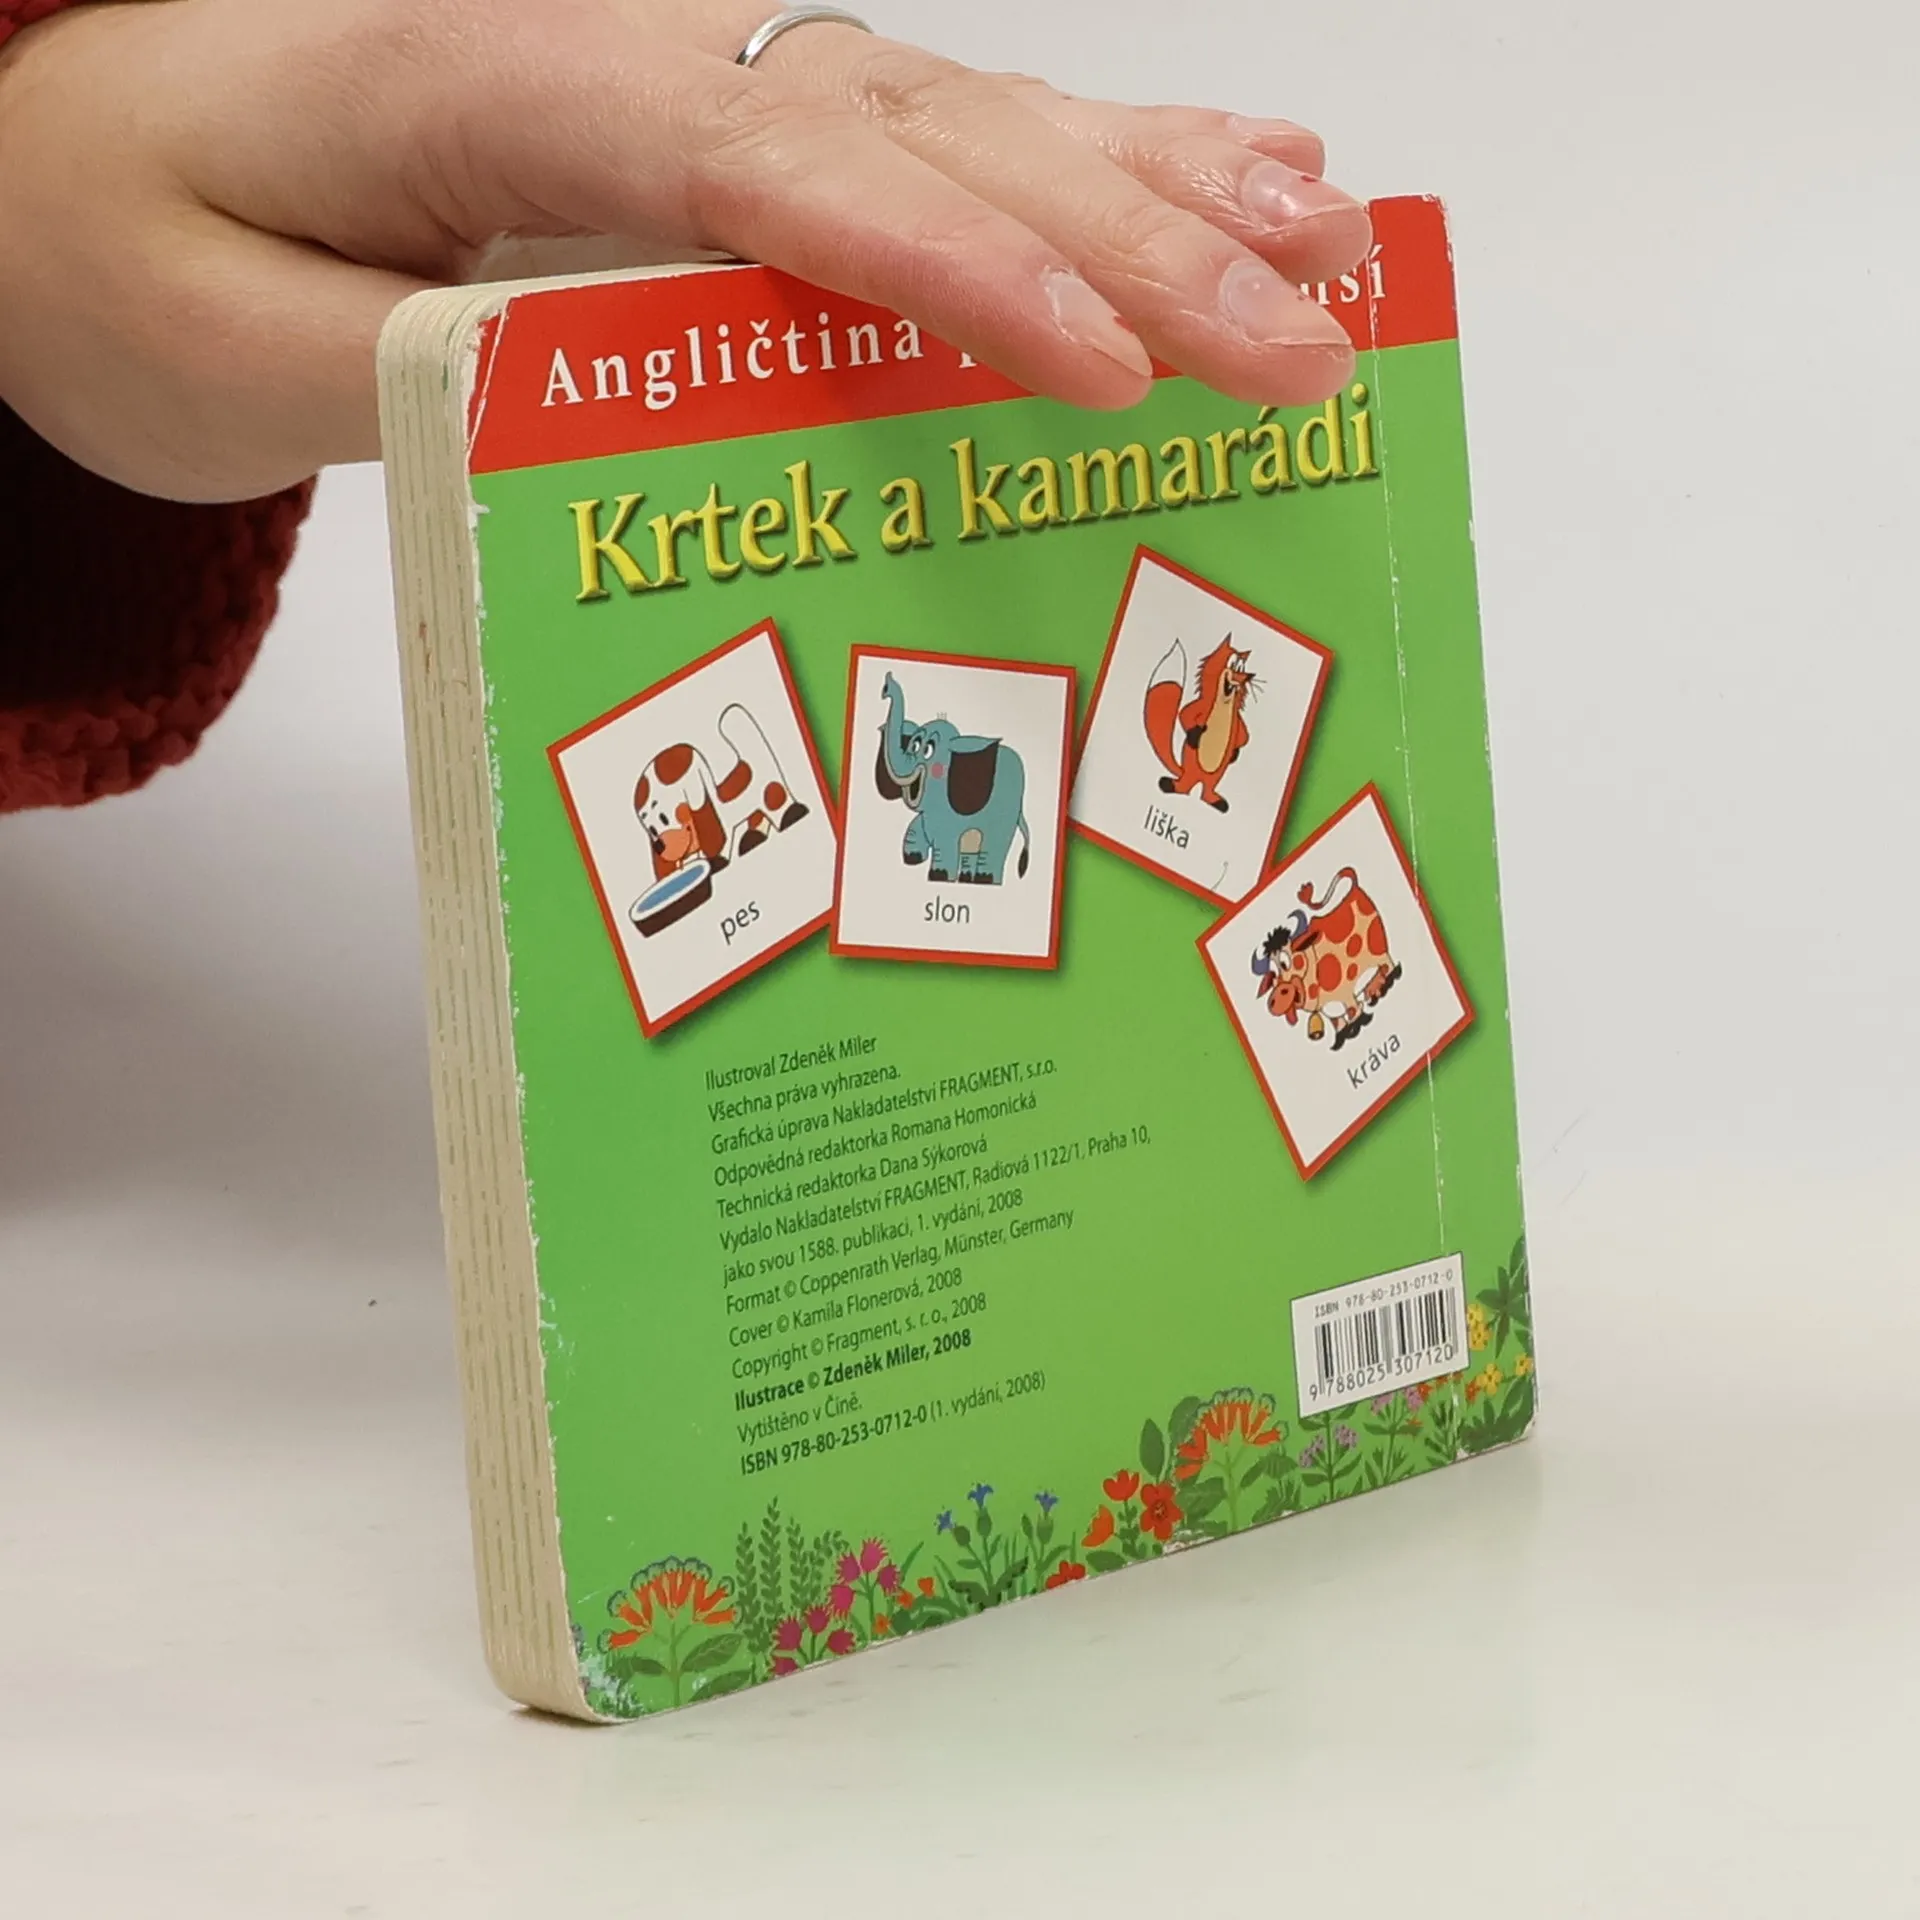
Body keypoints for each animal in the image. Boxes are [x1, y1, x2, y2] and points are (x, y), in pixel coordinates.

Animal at [1251, 868, 1401, 1050]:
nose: (1275, 1000)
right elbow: (1338, 1023)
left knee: (1388, 965)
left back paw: (1385, 983)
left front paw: (1359, 1023)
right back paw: (1373, 989)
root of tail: (1354, 889)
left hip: (1379, 951)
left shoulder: (1345, 994)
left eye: (1285, 962)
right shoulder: (1329, 1009)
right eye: (1273, 977)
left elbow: (1354, 1012)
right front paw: (1341, 1039)